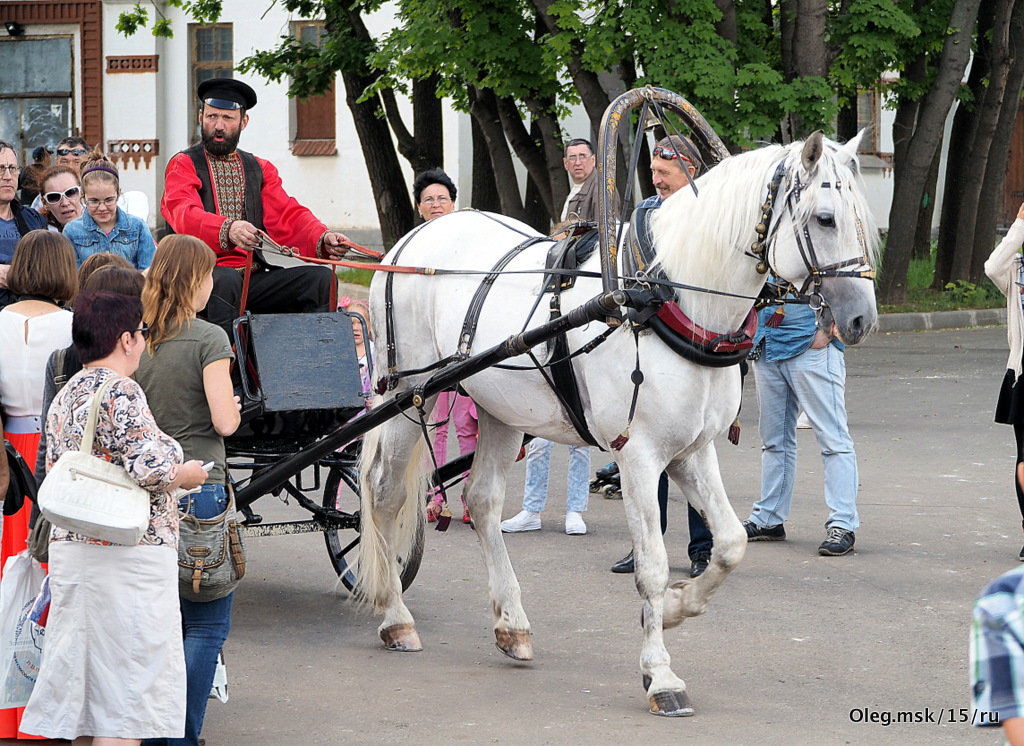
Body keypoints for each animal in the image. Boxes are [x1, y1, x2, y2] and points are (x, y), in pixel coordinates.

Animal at [356, 132, 876, 716]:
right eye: (826, 218)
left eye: (862, 219)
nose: (862, 319)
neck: (659, 296)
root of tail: (412, 238)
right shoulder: (639, 456)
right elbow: (651, 565)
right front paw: (661, 674)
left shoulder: (691, 452)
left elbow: (730, 543)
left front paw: (675, 608)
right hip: (407, 394)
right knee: (385, 494)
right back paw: (396, 617)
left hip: (500, 408)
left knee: (483, 500)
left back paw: (512, 626)